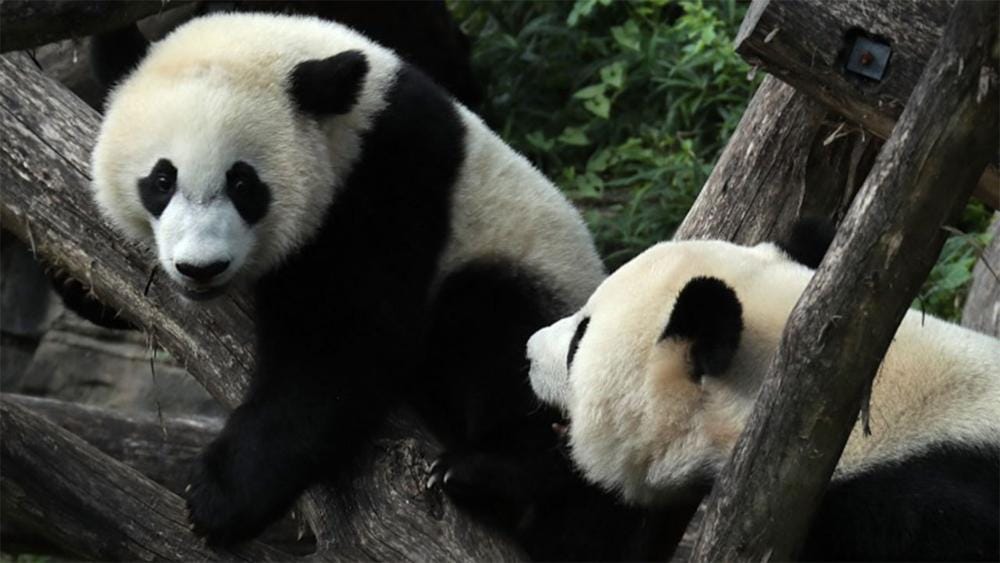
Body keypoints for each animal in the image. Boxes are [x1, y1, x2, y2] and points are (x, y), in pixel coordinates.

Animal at [89, 12, 642, 553]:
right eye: (162, 180)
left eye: (243, 183)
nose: (200, 268)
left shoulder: (389, 176)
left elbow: (343, 344)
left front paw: (219, 498)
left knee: (497, 325)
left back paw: (486, 475)